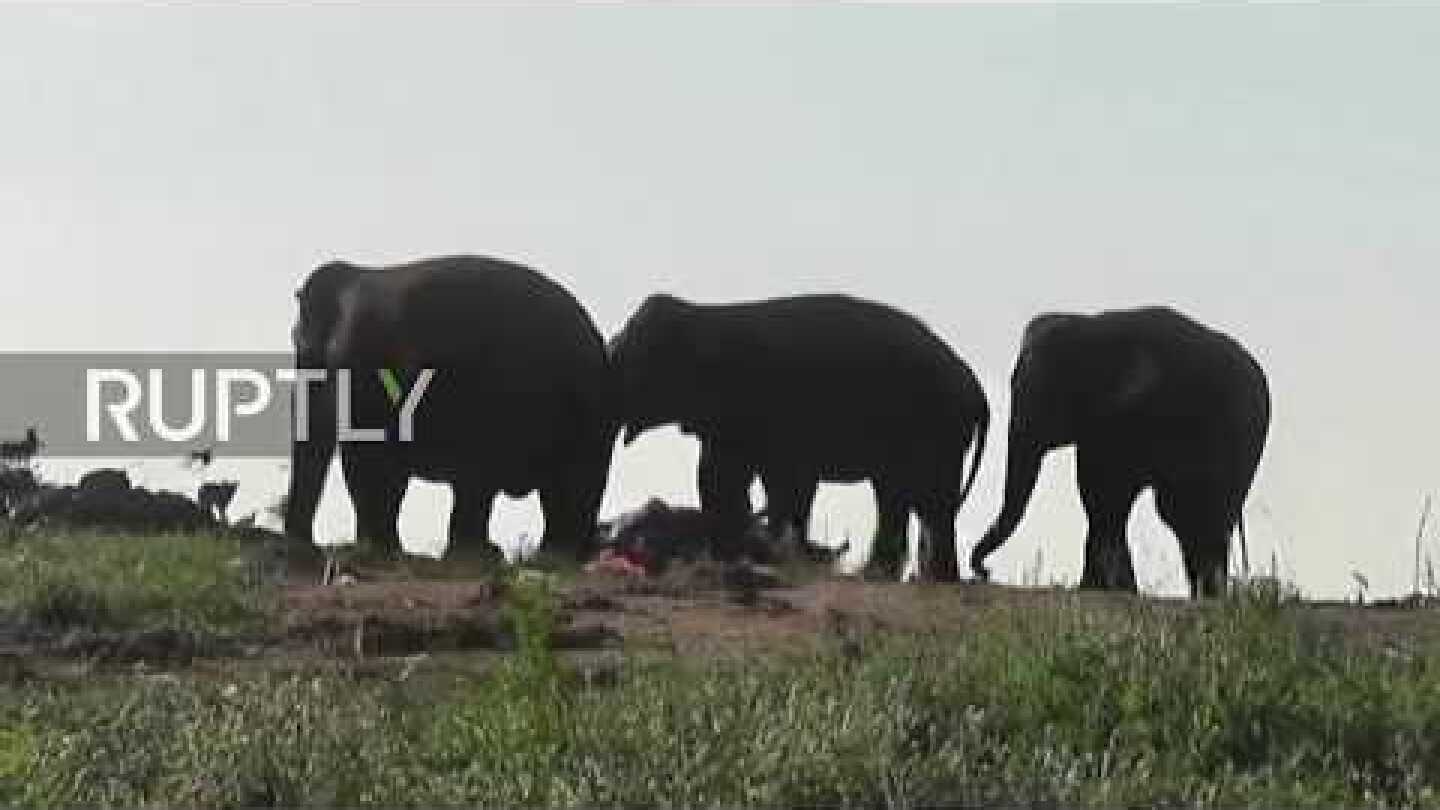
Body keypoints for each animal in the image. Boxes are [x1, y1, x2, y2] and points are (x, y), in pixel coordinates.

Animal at [283, 254, 617, 562]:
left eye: (303, 349)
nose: (305, 547)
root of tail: (597, 342)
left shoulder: (367, 364)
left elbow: (369, 462)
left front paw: (383, 550)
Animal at [610, 293, 989, 581]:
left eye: (629, 359)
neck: (704, 317)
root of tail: (976, 389)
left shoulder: (749, 407)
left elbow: (740, 478)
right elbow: (756, 480)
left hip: (937, 428)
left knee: (928, 501)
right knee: (899, 497)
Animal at [969, 306, 1270, 598]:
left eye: (1051, 395)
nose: (984, 571)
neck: (1091, 325)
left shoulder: (1130, 414)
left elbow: (1106, 493)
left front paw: (1106, 589)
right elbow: (1099, 497)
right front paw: (1102, 589)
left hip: (1239, 440)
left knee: (1197, 510)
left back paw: (1209, 596)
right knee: (1186, 513)